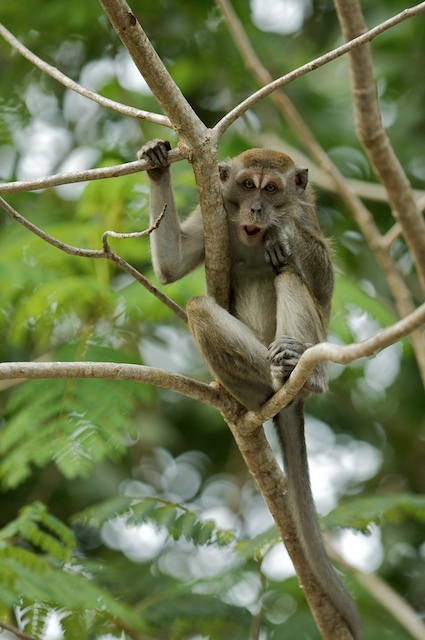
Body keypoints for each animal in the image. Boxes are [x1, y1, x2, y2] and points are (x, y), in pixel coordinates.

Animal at [138, 139, 361, 639]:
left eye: (272, 189)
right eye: (246, 185)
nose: (258, 208)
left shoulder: (306, 212)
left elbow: (321, 284)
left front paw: (283, 231)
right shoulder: (218, 216)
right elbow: (174, 266)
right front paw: (158, 164)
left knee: (288, 274)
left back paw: (304, 371)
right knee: (200, 307)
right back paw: (265, 386)